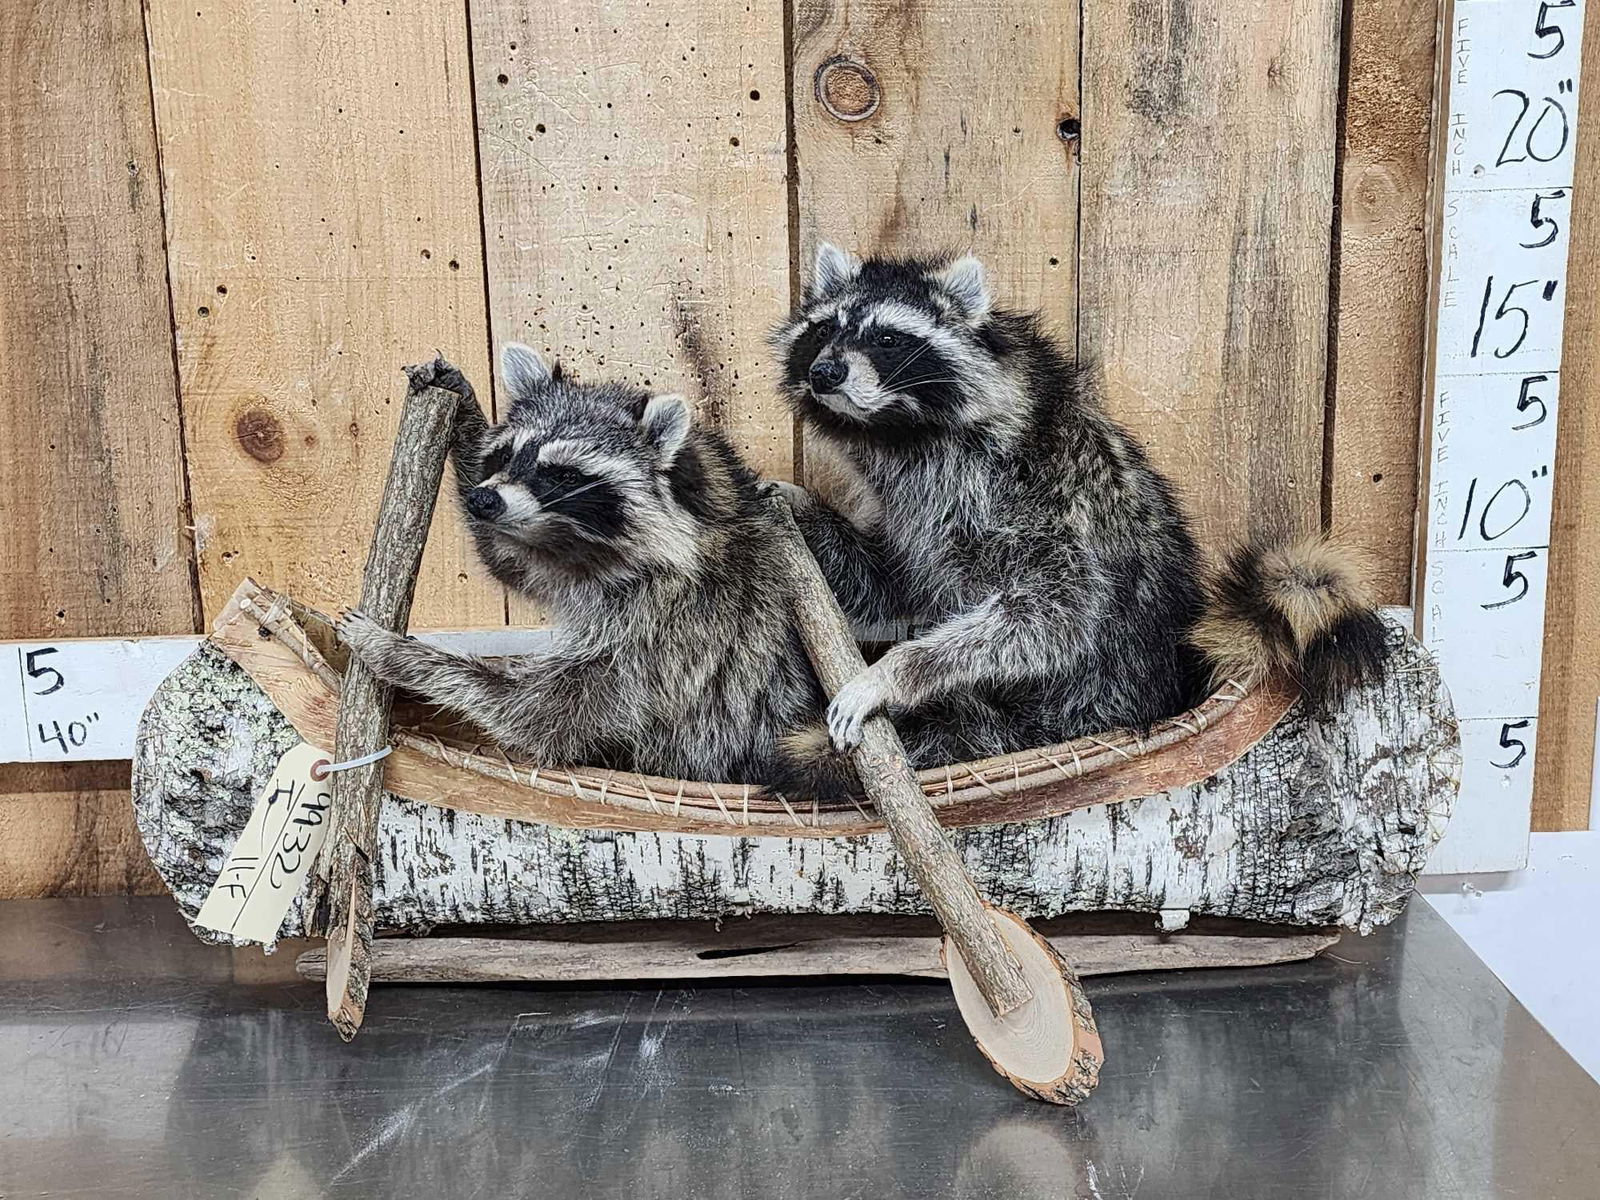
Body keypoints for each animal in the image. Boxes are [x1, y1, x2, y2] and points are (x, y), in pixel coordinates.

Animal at [337, 346, 845, 793]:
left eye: (562, 474)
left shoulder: (678, 623)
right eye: (506, 455)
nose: (484, 500)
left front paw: (402, 656)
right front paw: (466, 412)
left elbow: (543, 712)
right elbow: (508, 561)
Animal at [773, 245, 1385, 757]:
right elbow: (892, 584)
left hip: (1080, 701)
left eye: (886, 338)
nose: (825, 372)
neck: (900, 434)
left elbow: (1057, 612)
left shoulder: (1039, 495)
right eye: (823, 329)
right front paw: (800, 507)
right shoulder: (911, 508)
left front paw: (899, 671)